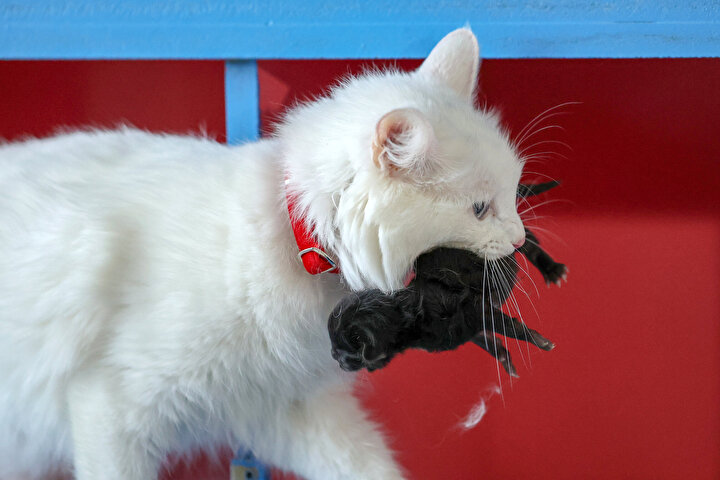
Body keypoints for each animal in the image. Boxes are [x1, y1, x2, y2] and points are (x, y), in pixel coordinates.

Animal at [1, 30, 524, 480]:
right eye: (480, 209)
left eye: (514, 192)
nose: (520, 239)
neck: (295, 241)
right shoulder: (114, 406)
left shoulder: (279, 407)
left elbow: (369, 465)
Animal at [328, 182, 568, 376]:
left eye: (341, 350)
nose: (333, 356)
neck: (412, 319)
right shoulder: (471, 328)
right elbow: (487, 341)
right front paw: (504, 359)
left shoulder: (477, 309)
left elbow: (510, 328)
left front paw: (541, 343)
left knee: (529, 242)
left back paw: (553, 270)